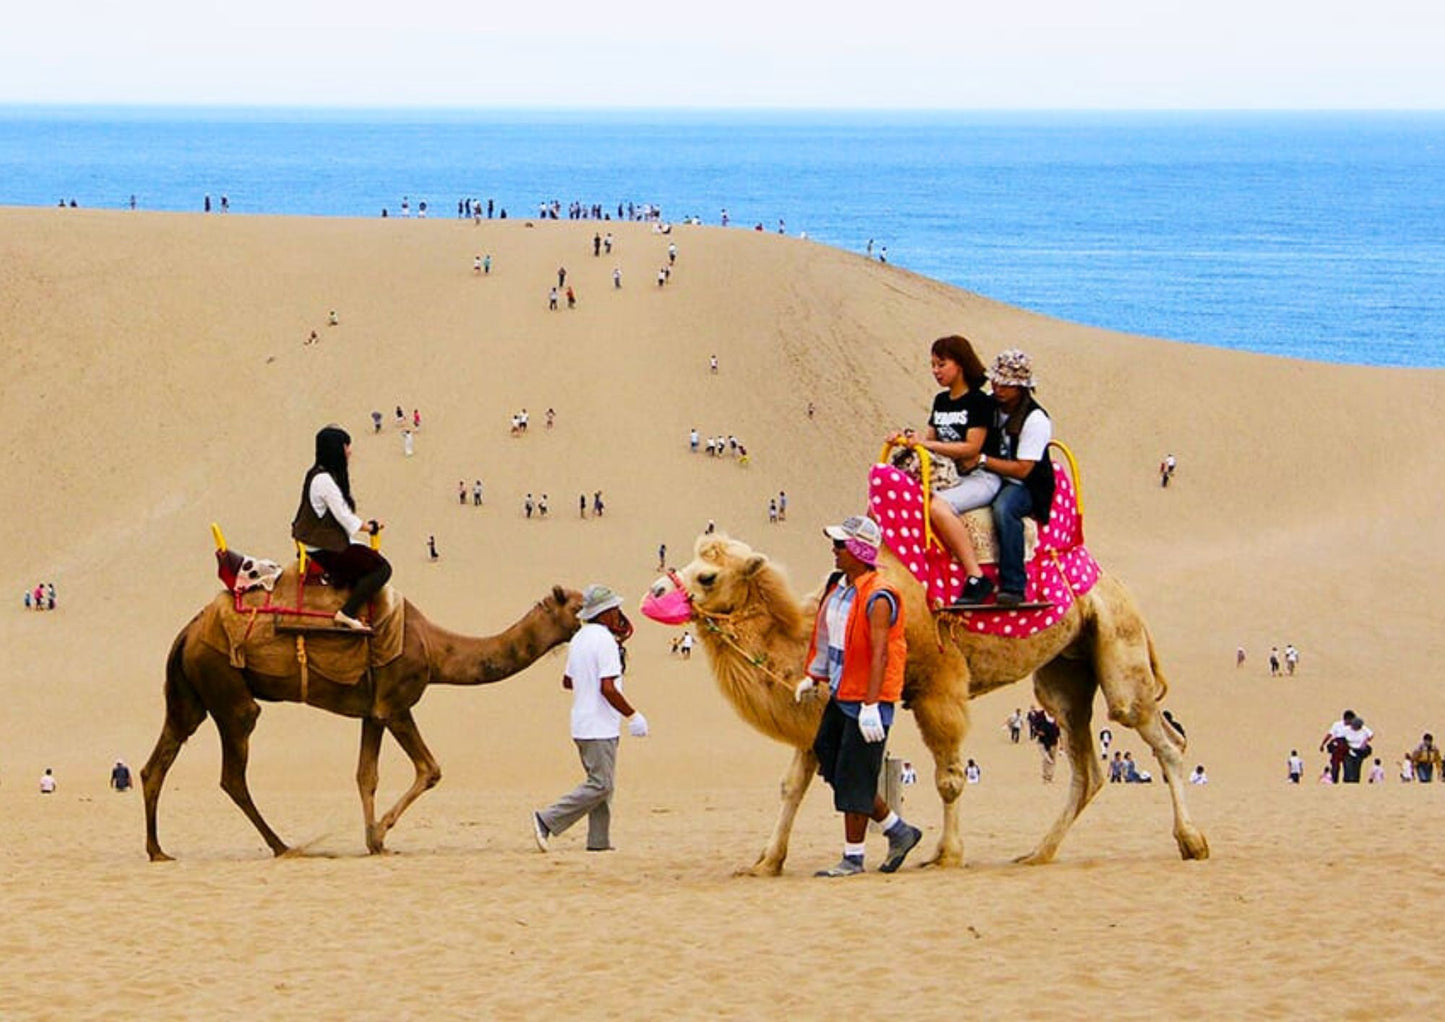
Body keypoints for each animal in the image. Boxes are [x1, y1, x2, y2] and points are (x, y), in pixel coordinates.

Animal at [140, 584, 580, 861]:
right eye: (577, 606)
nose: (603, 619)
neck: (436, 648)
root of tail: (188, 631)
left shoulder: (373, 711)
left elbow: (366, 775)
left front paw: (373, 841)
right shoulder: (396, 704)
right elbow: (430, 769)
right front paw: (381, 833)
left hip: (190, 695)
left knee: (155, 764)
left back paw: (158, 851)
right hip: (227, 688)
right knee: (232, 773)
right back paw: (283, 846)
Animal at [647, 531, 1208, 873]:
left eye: (708, 576)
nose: (653, 592)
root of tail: (1116, 583)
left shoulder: (940, 685)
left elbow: (949, 778)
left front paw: (945, 854)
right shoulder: (822, 707)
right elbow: (794, 785)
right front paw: (765, 862)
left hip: (1118, 641)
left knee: (1159, 734)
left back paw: (1192, 842)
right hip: (1065, 672)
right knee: (1086, 763)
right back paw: (1037, 853)